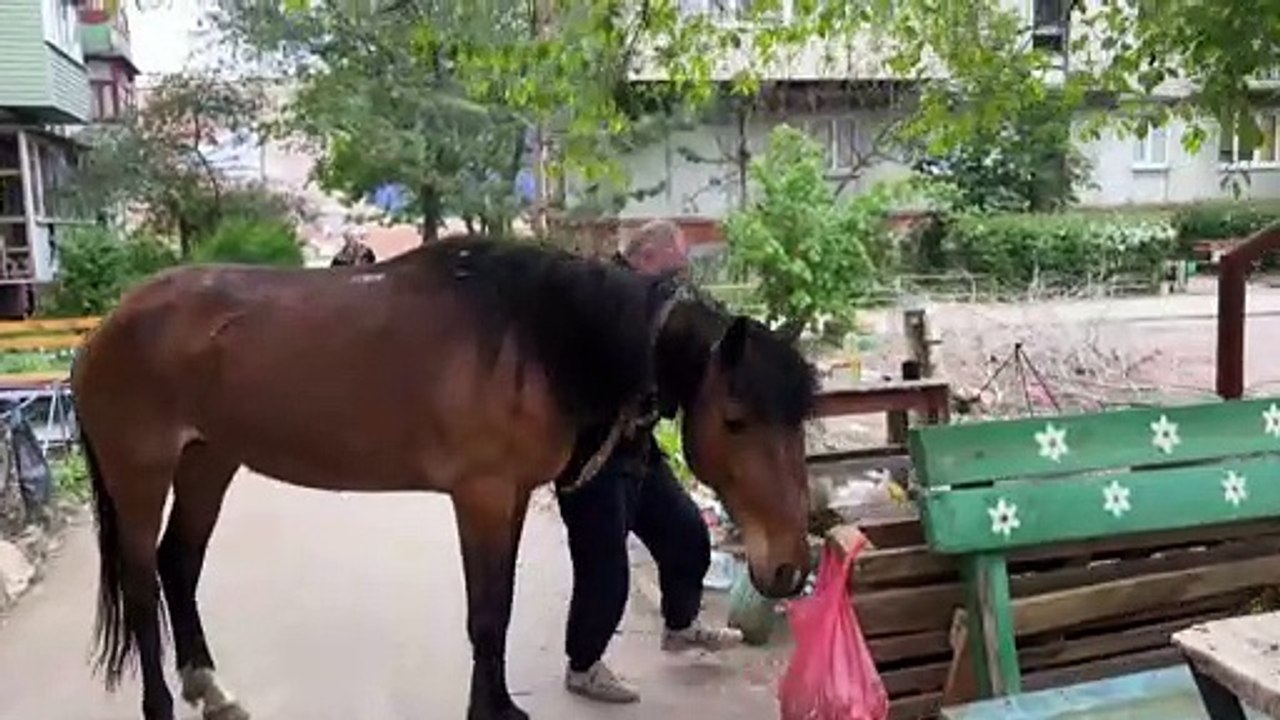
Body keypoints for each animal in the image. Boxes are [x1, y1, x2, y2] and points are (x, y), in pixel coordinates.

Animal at [70, 236, 818, 720]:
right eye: (736, 420)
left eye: (800, 417)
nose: (789, 567)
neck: (534, 336)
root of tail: (106, 329)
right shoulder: (480, 496)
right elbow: (485, 614)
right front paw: (491, 713)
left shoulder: (510, 496)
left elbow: (499, 608)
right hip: (142, 475)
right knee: (141, 585)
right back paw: (161, 706)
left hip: (209, 461)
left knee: (178, 564)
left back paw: (213, 691)